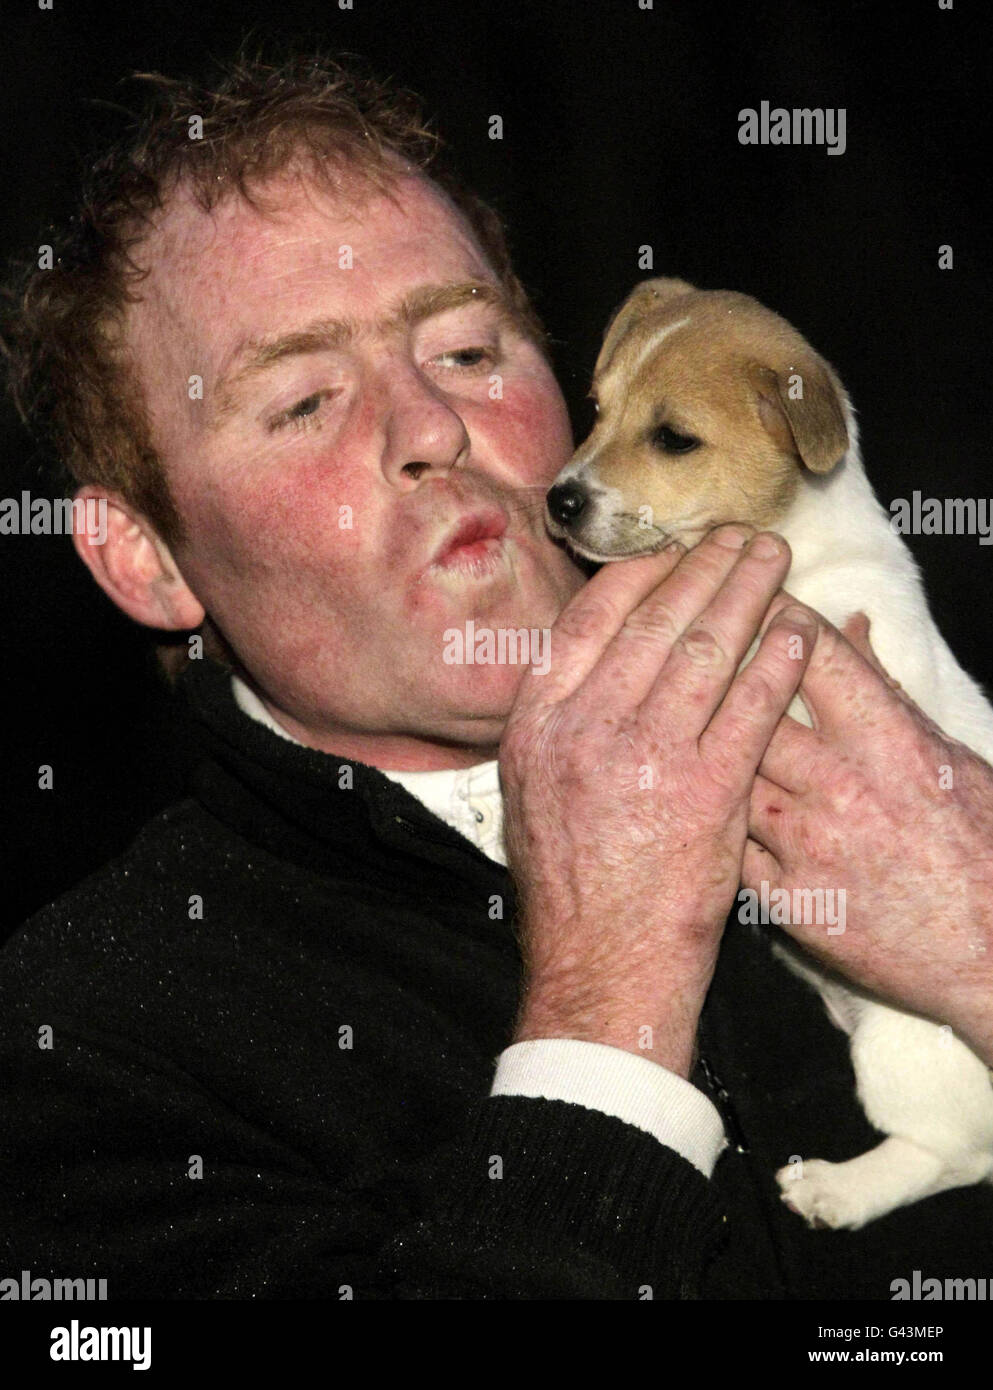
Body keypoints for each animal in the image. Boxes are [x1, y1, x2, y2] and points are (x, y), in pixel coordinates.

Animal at [545, 276, 990, 1234]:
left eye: (672, 437)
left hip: (907, 1051)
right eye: (595, 409)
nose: (555, 501)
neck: (793, 549)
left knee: (954, 1156)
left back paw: (837, 1189)